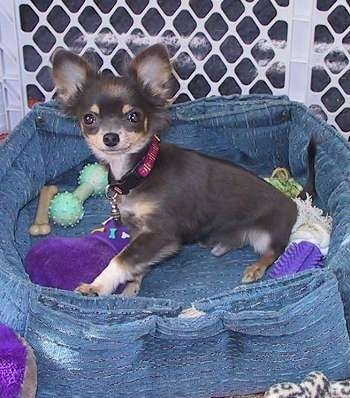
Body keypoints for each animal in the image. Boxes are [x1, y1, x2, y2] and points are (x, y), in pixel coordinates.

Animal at [52, 45, 314, 296]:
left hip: (266, 235)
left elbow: (121, 258)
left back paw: (256, 268)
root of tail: (293, 201)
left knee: (275, 250)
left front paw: (97, 286)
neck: (139, 171)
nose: (110, 137)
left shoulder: (162, 232)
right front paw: (132, 287)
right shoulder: (140, 231)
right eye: (89, 118)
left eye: (133, 116)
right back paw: (219, 245)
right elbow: (138, 263)